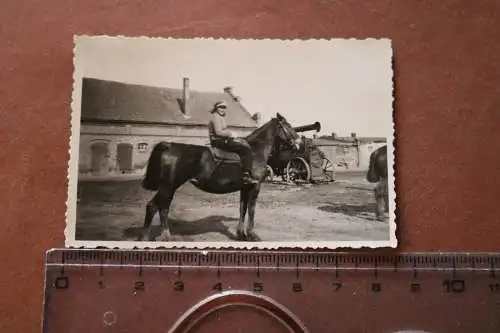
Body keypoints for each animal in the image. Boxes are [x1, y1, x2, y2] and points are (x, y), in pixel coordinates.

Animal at [139, 113, 300, 240]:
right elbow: (252, 210)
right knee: (158, 208)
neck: (255, 151)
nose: (299, 143)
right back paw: (158, 237)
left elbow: (243, 209)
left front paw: (241, 234)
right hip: (168, 187)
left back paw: (155, 236)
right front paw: (252, 234)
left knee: (157, 207)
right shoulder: (255, 187)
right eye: (289, 126)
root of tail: (169, 146)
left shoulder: (245, 188)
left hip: (168, 187)